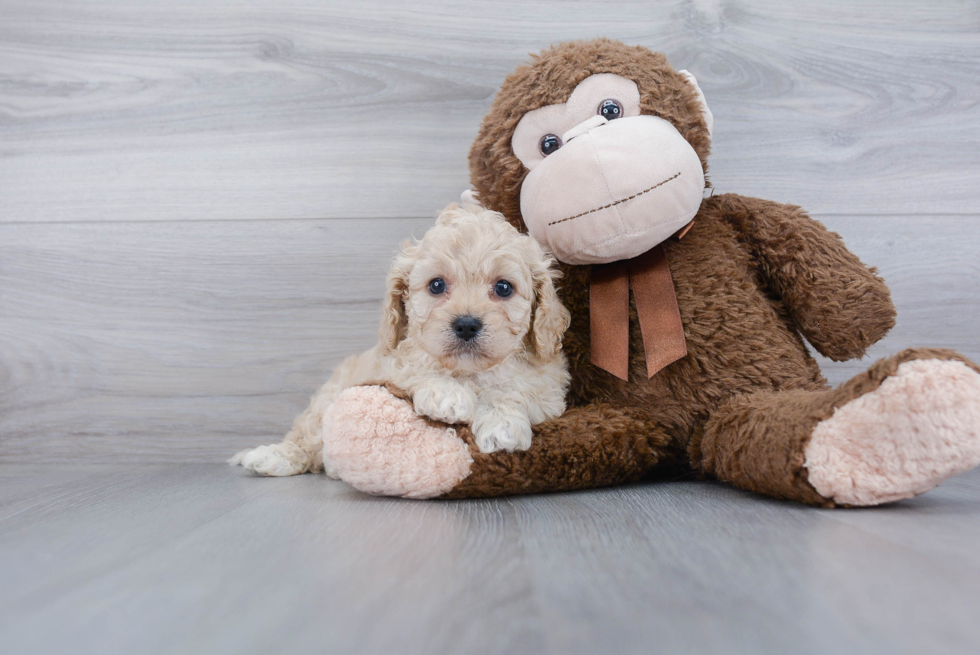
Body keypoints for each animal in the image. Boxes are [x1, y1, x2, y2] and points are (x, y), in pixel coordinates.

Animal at [231, 205, 572, 476]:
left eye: (503, 288)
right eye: (436, 285)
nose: (465, 325)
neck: (468, 372)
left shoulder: (548, 390)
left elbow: (515, 390)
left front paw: (502, 425)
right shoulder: (389, 364)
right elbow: (415, 369)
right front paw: (447, 395)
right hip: (327, 400)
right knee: (307, 436)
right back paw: (271, 456)